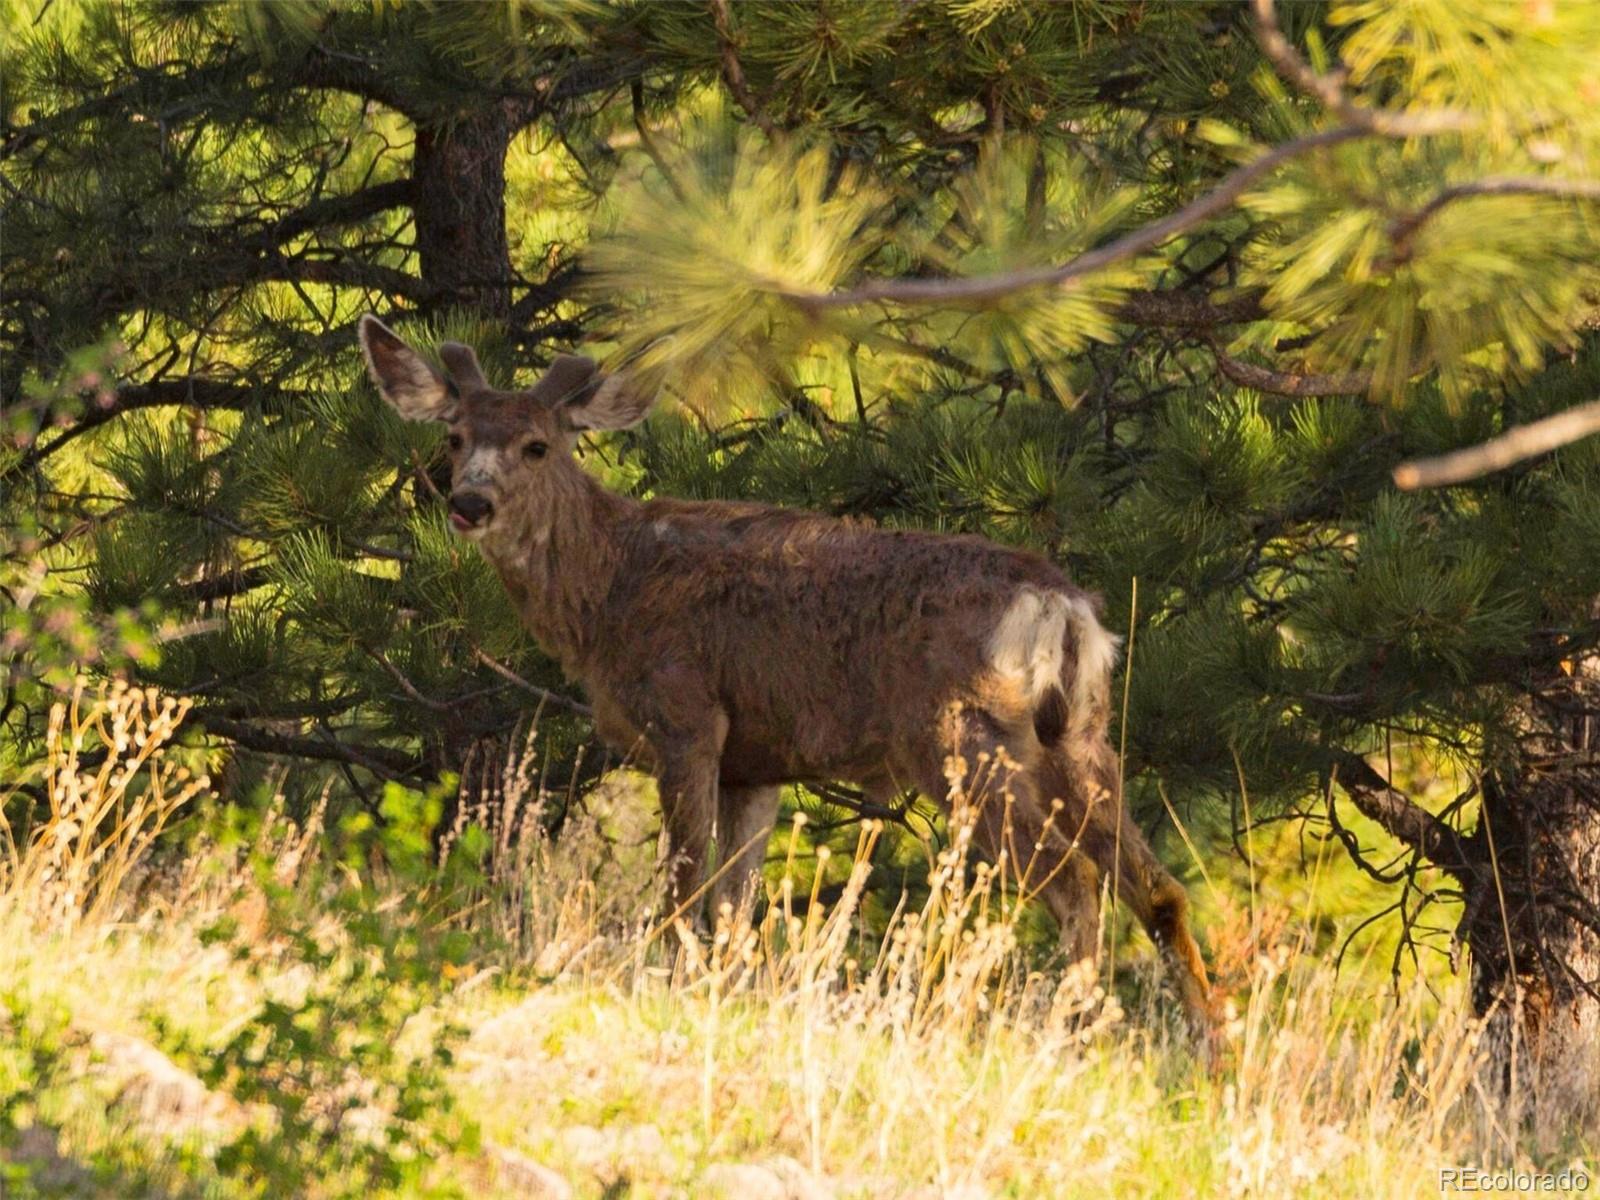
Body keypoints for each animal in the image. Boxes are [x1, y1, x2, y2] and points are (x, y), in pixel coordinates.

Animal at [363, 320, 1209, 1036]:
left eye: (538, 445)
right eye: (455, 435)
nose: (469, 501)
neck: (610, 591)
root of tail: (1064, 608)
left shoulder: (688, 716)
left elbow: (684, 892)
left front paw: (674, 988)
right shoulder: (756, 762)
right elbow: (737, 909)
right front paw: (725, 995)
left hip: (961, 735)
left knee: (1074, 884)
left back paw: (1070, 1035)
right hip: (1080, 735)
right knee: (1156, 889)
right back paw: (1205, 1059)